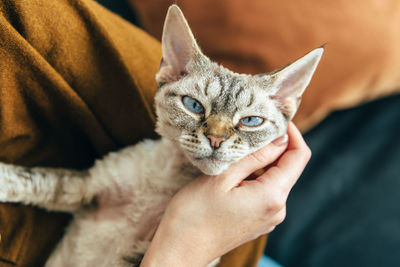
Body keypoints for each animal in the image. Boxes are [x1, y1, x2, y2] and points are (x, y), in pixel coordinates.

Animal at [0, 4, 322, 267]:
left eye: (251, 121)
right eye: (194, 106)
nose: (216, 140)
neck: (165, 183)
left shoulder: (136, 256)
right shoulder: (85, 187)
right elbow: (34, 180)